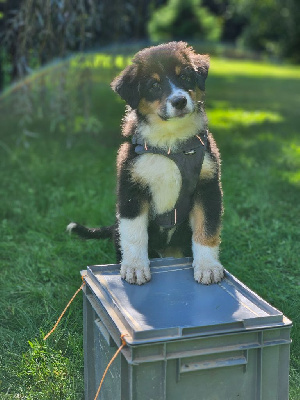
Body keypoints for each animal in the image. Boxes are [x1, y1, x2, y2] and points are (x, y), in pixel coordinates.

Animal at [67, 41, 223, 284]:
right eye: (153, 85)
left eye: (185, 76)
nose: (179, 101)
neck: (170, 142)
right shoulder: (132, 189)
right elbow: (134, 233)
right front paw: (135, 267)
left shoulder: (208, 186)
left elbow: (206, 230)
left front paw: (208, 267)